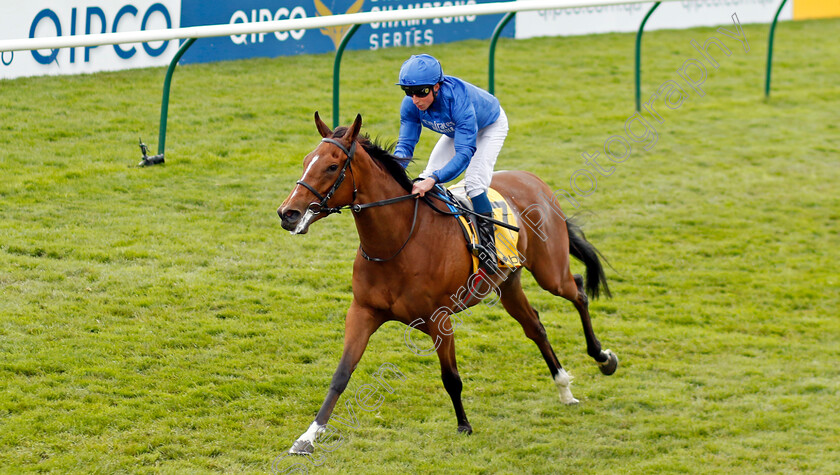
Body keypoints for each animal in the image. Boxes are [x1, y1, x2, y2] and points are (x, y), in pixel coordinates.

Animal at [278, 112, 612, 458]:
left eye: (332, 167)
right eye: (305, 161)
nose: (288, 213)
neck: (398, 242)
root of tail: (533, 179)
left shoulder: (439, 320)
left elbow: (450, 377)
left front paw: (464, 425)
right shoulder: (362, 312)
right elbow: (341, 374)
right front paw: (309, 436)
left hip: (550, 272)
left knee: (578, 289)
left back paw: (602, 358)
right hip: (508, 284)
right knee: (535, 326)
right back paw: (564, 387)